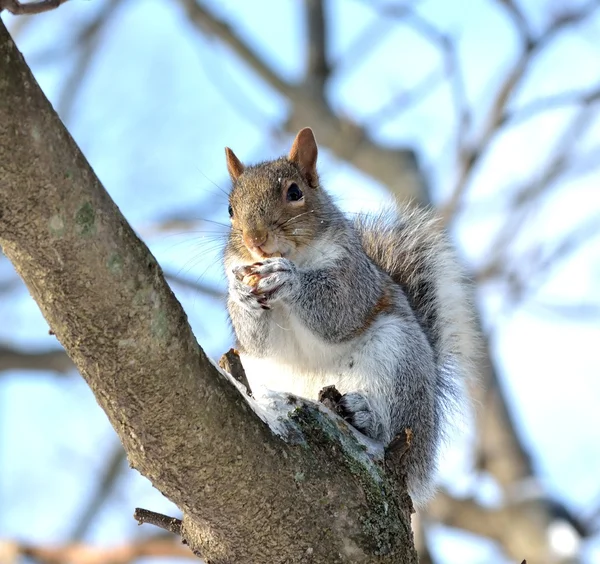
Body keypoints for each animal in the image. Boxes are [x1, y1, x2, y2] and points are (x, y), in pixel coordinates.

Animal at [223, 129, 476, 506]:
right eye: (230, 209)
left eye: (294, 192)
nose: (255, 240)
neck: (297, 255)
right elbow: (259, 341)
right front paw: (240, 294)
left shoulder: (353, 276)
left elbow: (338, 312)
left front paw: (289, 278)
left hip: (401, 361)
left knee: (392, 427)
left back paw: (365, 416)